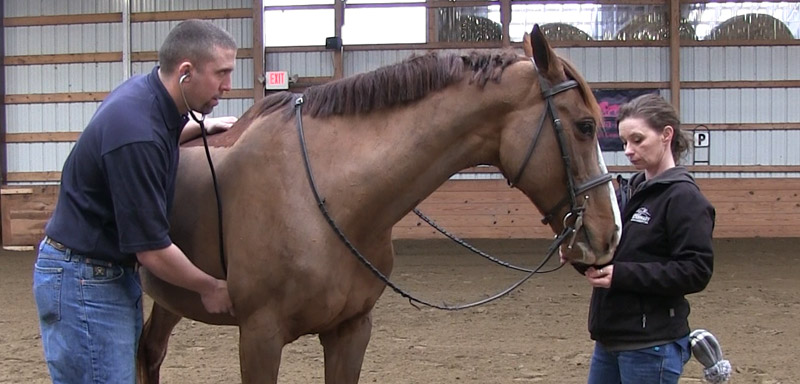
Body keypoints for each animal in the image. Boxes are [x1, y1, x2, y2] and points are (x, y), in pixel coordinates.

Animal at [139, 25, 624, 382]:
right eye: (585, 126)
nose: (609, 233)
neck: (322, 195)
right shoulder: (259, 335)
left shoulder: (351, 331)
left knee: (149, 352)